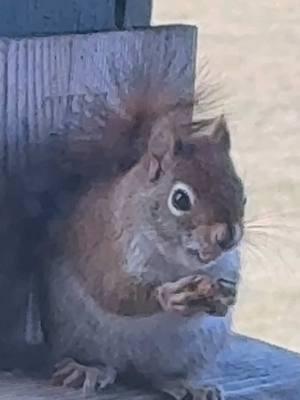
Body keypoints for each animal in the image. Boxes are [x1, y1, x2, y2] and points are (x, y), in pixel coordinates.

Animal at [8, 67, 246, 398]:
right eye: (180, 199)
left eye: (241, 191)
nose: (226, 237)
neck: (176, 260)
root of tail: (133, 366)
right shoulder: (108, 250)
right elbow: (116, 292)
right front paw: (169, 294)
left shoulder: (227, 264)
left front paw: (227, 296)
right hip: (79, 336)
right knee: (106, 365)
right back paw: (87, 369)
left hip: (192, 351)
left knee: (158, 376)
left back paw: (186, 384)